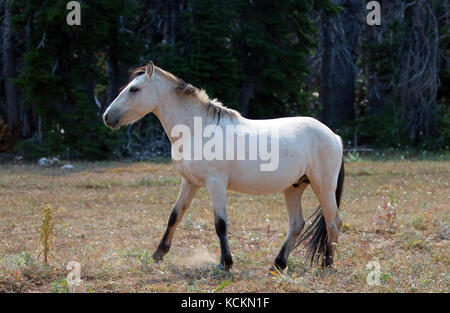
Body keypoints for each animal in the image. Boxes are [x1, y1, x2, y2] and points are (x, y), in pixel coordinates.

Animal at [103, 61, 344, 270]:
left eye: (134, 89)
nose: (107, 117)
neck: (197, 129)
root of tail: (334, 136)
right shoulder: (189, 182)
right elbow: (175, 215)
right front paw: (158, 254)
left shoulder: (215, 184)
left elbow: (220, 224)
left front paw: (225, 263)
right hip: (294, 187)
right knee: (296, 224)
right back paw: (278, 264)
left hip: (323, 187)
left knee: (334, 223)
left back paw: (327, 265)